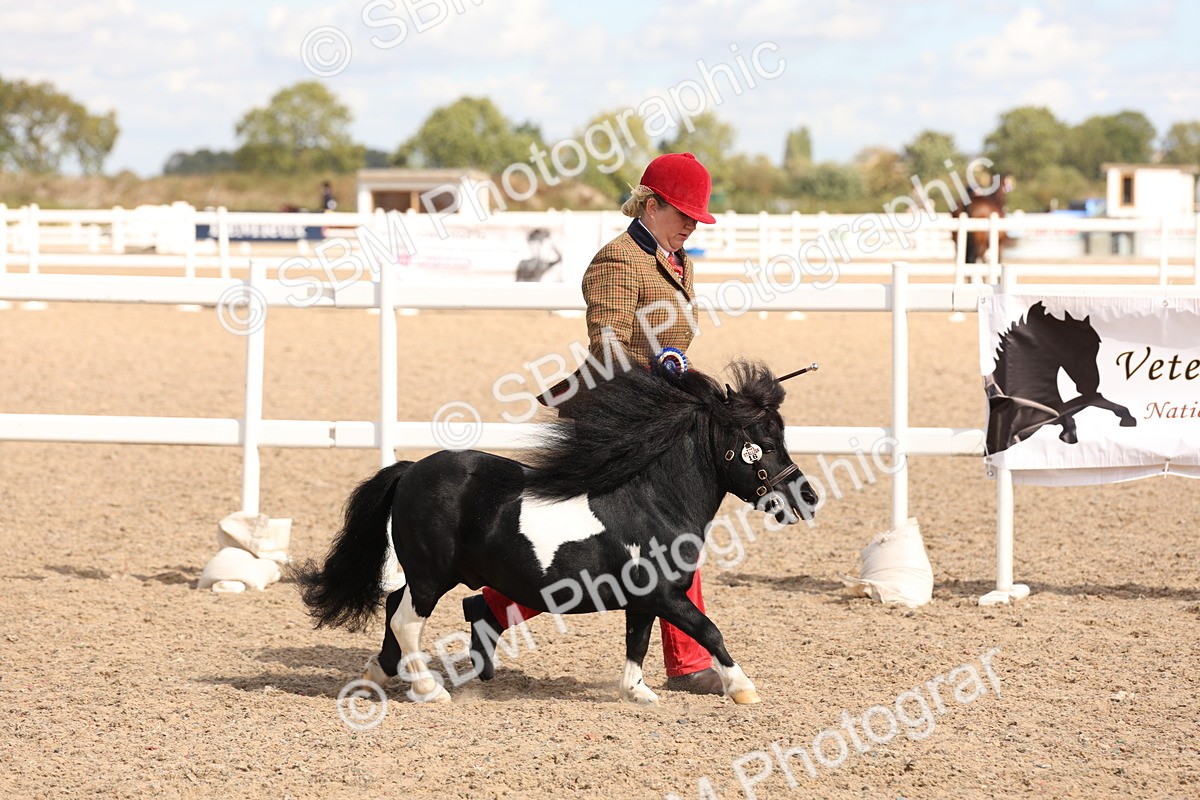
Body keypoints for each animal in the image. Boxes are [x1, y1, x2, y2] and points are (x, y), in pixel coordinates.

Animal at [293, 360, 819, 706]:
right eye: (766, 442)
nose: (808, 497)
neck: (655, 502)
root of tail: (410, 471)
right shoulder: (666, 595)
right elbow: (709, 630)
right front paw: (743, 688)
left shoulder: (646, 598)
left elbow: (638, 640)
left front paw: (637, 692)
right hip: (430, 577)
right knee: (405, 619)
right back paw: (429, 689)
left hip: (430, 576)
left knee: (393, 609)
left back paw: (378, 675)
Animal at [984, 301, 1136, 454]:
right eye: (1078, 347)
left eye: (1096, 347)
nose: (1091, 386)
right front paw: (1068, 436)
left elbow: (1091, 402)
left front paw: (1127, 417)